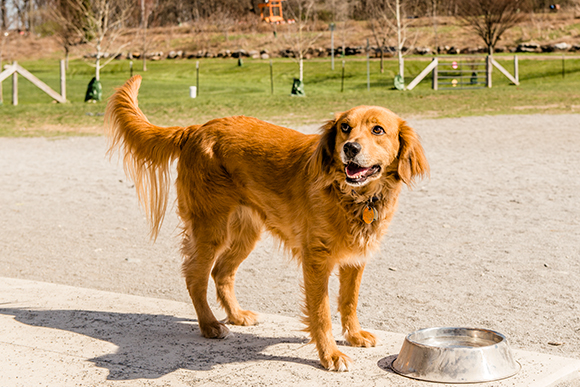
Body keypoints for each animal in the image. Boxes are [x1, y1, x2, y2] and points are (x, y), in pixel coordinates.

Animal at [105, 76, 426, 372]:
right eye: (345, 127)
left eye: (378, 130)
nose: (350, 148)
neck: (354, 196)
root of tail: (197, 128)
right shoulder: (316, 260)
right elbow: (321, 313)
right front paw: (330, 355)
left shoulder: (355, 259)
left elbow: (349, 301)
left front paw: (354, 335)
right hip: (211, 229)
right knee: (195, 276)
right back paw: (210, 325)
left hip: (247, 233)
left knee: (221, 273)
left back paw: (236, 315)